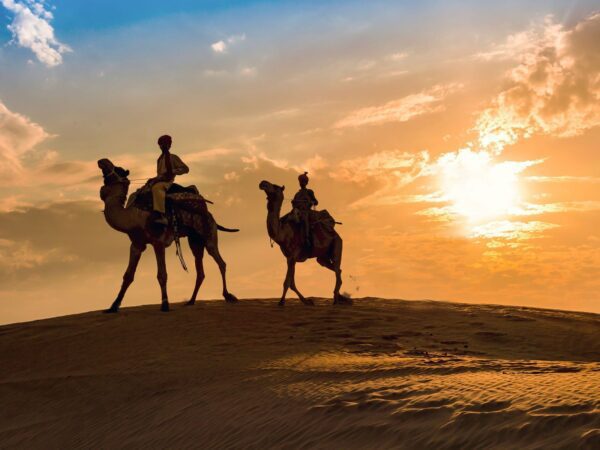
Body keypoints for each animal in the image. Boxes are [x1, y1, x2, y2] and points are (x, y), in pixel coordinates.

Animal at [98, 158, 239, 312]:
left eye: (118, 169)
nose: (102, 161)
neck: (133, 216)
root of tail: (210, 215)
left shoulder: (158, 241)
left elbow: (162, 275)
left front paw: (165, 304)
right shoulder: (137, 244)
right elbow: (128, 276)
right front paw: (113, 306)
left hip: (208, 233)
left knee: (220, 261)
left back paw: (228, 295)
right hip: (194, 240)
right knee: (200, 270)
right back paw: (191, 301)